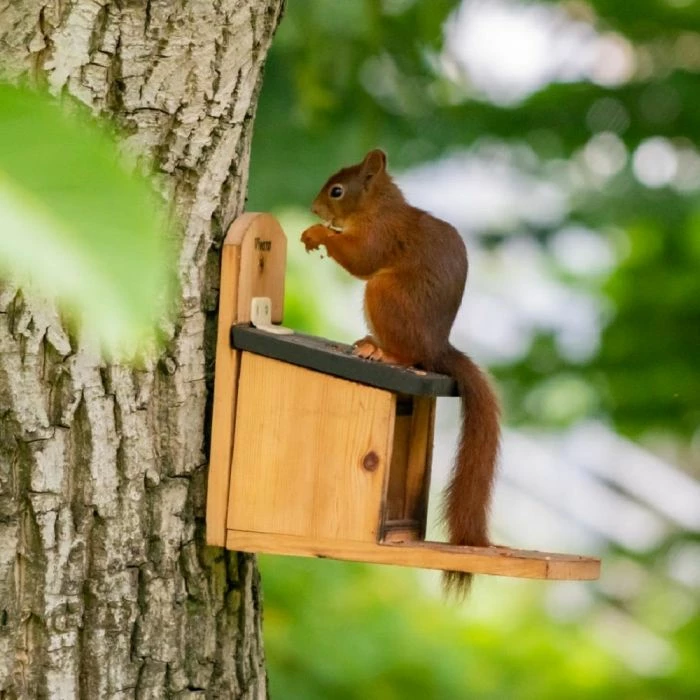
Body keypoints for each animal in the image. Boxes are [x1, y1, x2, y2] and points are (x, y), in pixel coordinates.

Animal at [300, 148, 501, 595]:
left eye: (337, 191)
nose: (315, 209)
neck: (378, 207)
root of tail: (437, 348)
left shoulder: (381, 236)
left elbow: (361, 259)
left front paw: (318, 234)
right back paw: (367, 344)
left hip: (386, 295)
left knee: (409, 356)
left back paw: (385, 354)